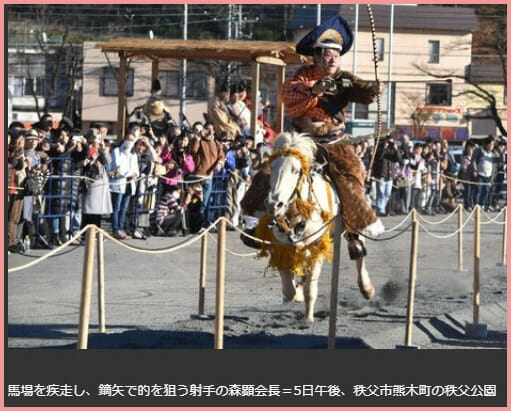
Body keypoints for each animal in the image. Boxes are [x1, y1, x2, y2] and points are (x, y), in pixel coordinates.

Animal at [248, 132, 376, 322]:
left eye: (295, 170)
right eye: (273, 167)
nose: (273, 204)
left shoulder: (317, 247)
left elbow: (310, 289)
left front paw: (308, 319)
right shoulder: (282, 247)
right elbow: (289, 289)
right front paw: (297, 294)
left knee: (358, 249)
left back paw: (367, 288)